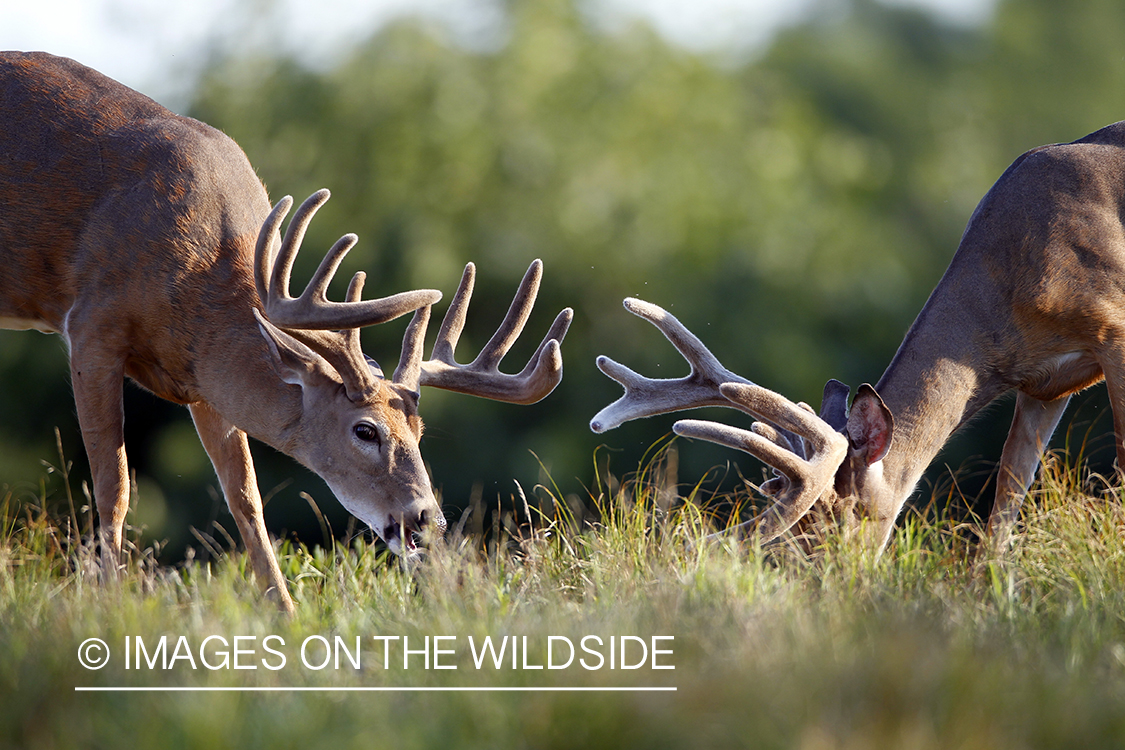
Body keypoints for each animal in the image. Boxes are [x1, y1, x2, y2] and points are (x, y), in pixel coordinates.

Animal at [0, 52, 571, 616]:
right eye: (366, 430)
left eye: (419, 429)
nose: (428, 518)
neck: (195, 275)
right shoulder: (91, 325)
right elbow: (113, 485)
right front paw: (109, 605)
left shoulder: (202, 382)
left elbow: (245, 496)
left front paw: (286, 611)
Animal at [589, 122, 1125, 557]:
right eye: (802, 531)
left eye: (846, 515)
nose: (835, 582)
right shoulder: (1044, 384)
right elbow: (1003, 510)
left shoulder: (1113, 332)